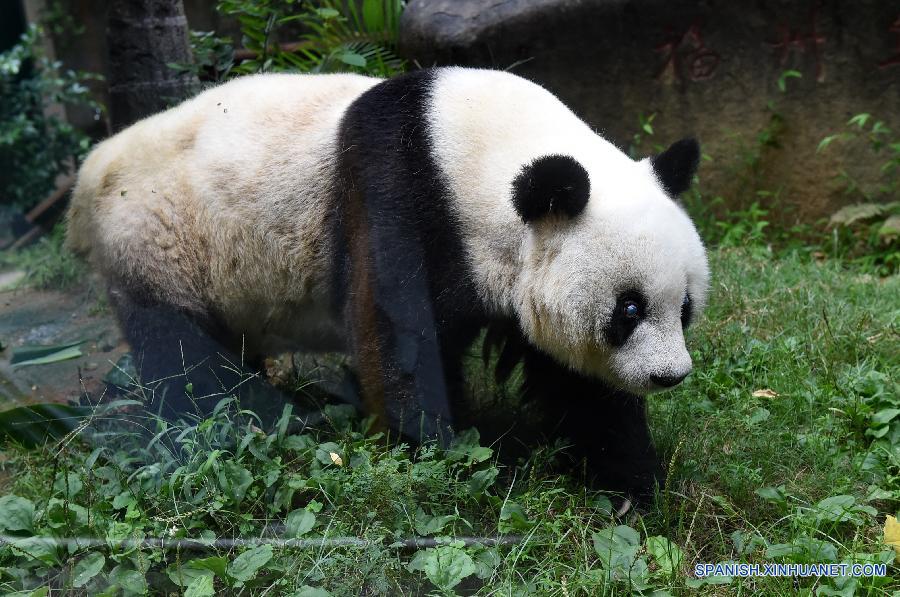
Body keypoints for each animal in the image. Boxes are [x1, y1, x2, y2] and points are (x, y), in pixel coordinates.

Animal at [67, 66, 708, 498]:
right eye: (628, 310)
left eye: (683, 309)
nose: (670, 376)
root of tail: (91, 168)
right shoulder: (401, 196)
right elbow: (400, 337)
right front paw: (438, 456)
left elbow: (572, 376)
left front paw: (630, 485)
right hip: (158, 238)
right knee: (180, 352)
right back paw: (223, 422)